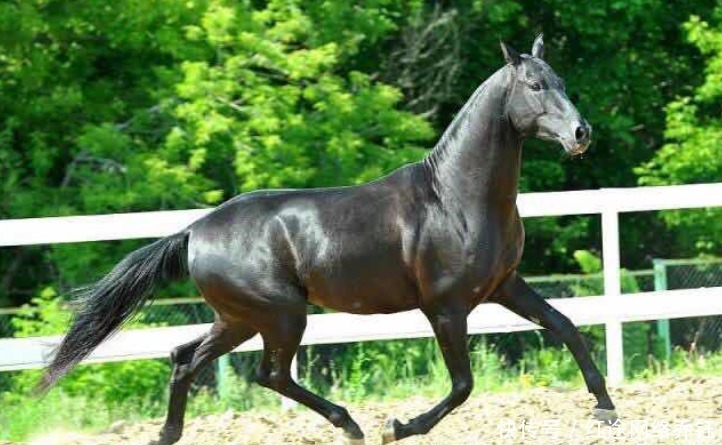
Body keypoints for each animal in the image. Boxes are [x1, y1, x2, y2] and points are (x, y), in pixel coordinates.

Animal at [37, 35, 617, 445]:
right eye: (536, 86)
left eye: (562, 82)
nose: (582, 134)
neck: (455, 196)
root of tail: (194, 231)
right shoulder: (446, 306)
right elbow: (462, 385)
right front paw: (396, 427)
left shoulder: (505, 286)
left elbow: (566, 327)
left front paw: (605, 408)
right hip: (281, 315)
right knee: (270, 374)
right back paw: (351, 424)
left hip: (240, 318)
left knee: (185, 358)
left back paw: (169, 435)